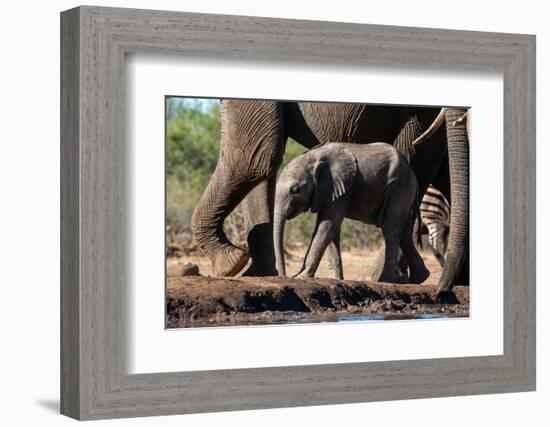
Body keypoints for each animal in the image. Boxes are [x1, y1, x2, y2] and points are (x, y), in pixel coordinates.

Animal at [274, 142, 432, 286]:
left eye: (295, 190)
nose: (283, 275)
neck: (313, 157)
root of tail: (412, 172)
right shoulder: (329, 191)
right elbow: (330, 228)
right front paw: (336, 279)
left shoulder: (341, 186)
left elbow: (328, 225)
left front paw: (301, 277)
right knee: (404, 230)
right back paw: (419, 278)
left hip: (400, 187)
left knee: (390, 227)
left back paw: (389, 280)